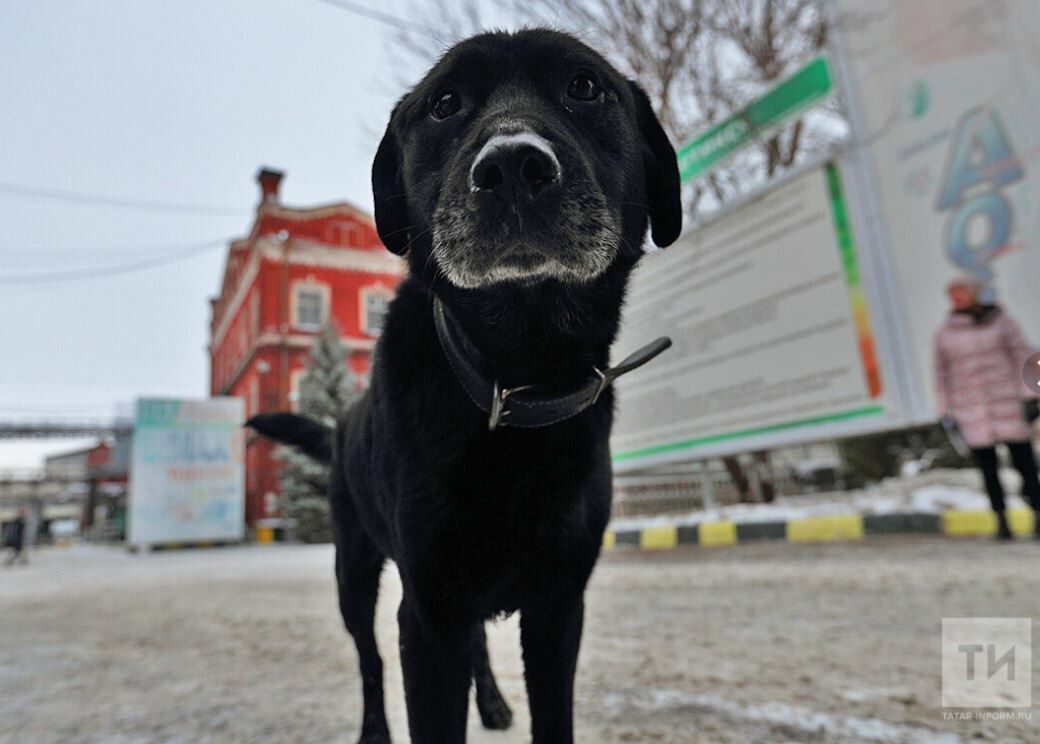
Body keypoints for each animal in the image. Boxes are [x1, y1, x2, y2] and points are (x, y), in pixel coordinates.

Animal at [246, 29, 678, 744]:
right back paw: (375, 728)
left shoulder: (559, 607)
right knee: (368, 662)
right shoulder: (427, 615)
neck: (518, 376)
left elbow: (552, 715)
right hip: (353, 573)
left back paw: (495, 702)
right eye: (444, 103)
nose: (511, 168)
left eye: (585, 86)